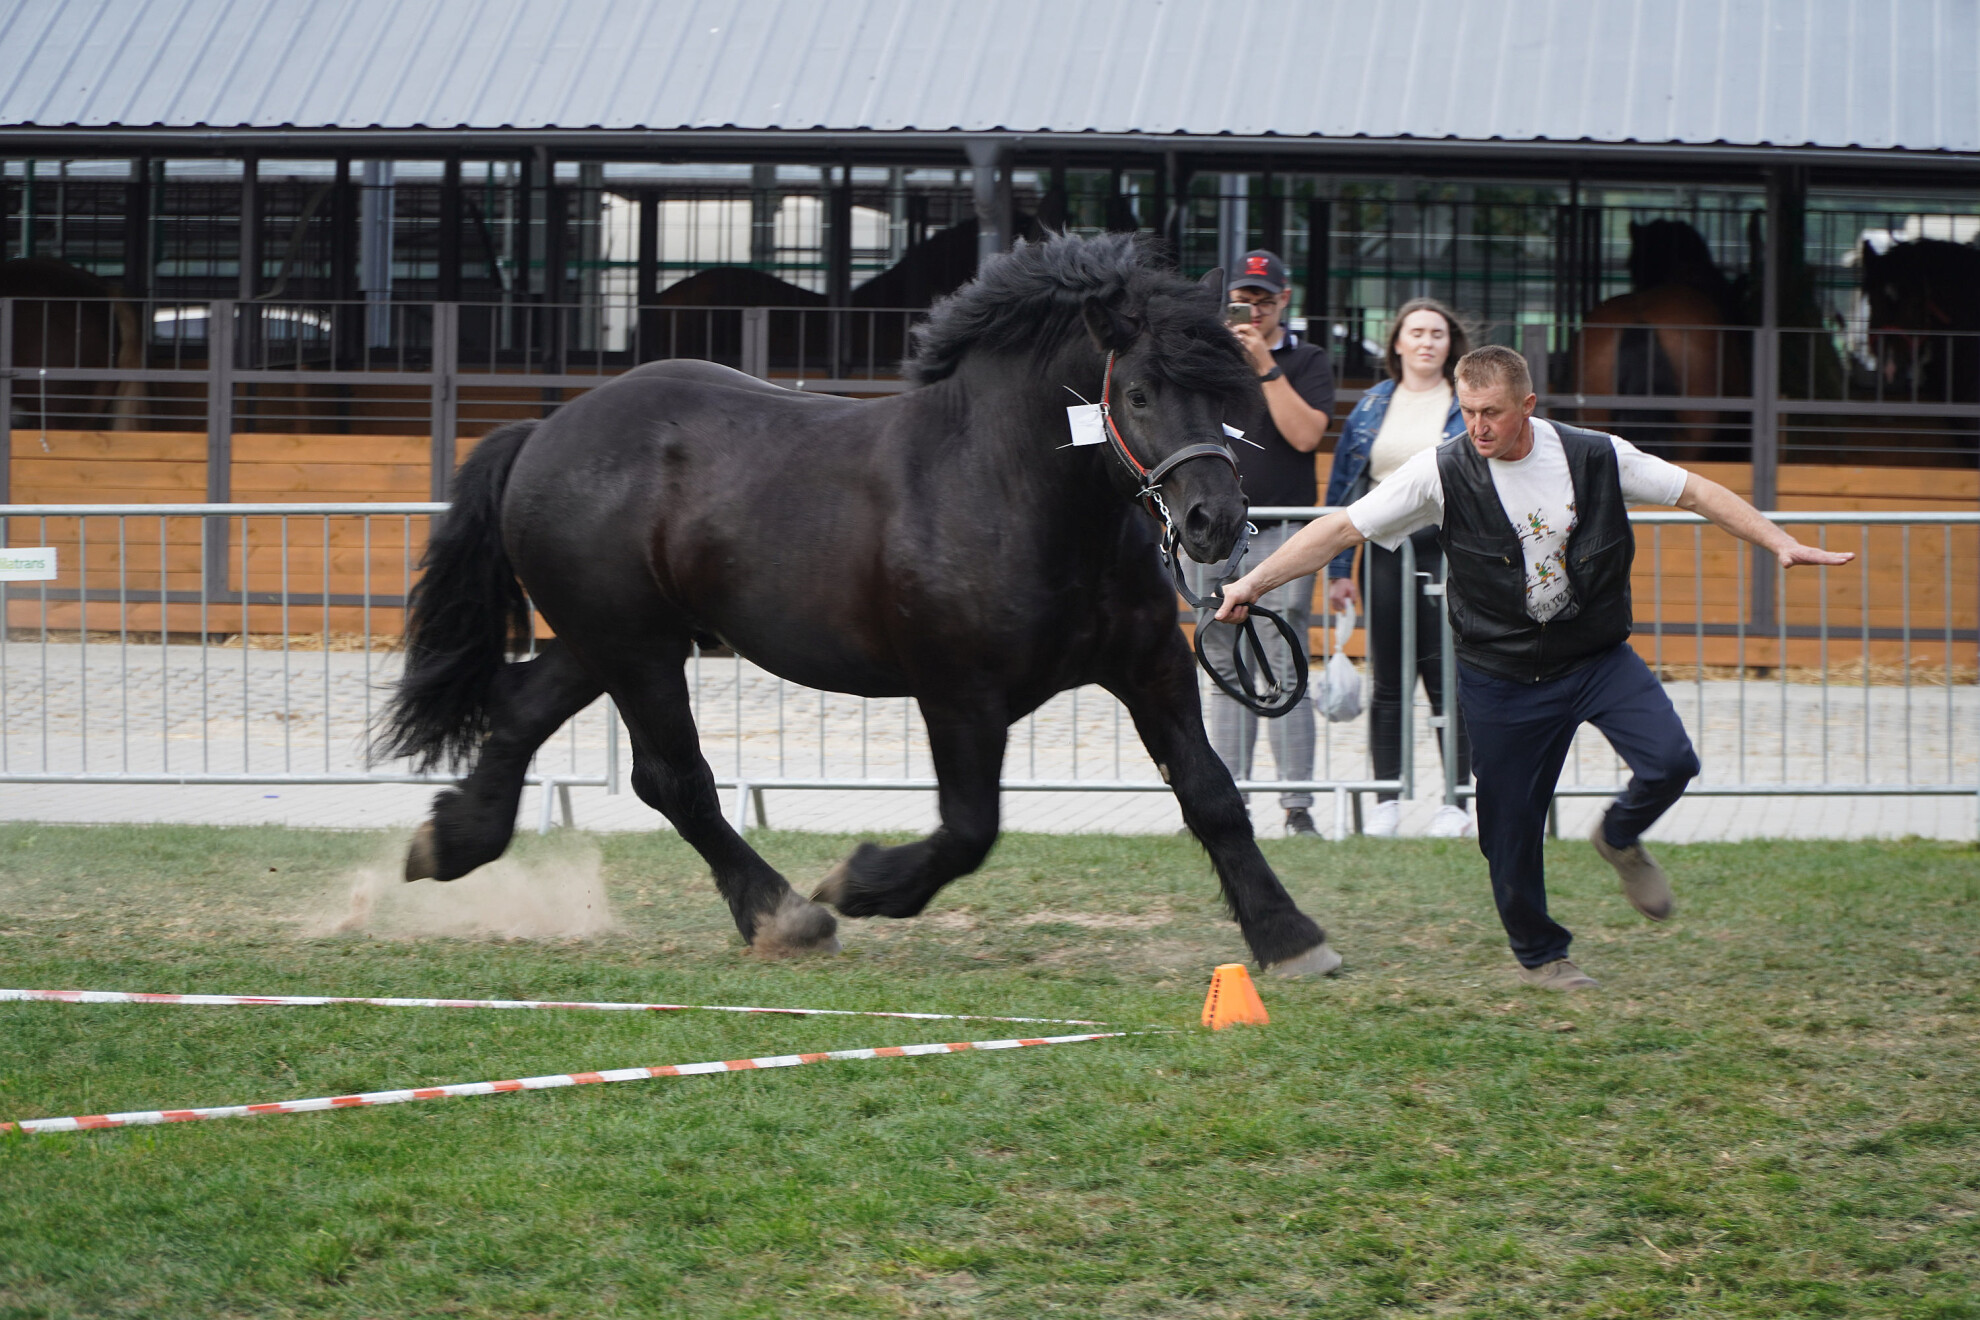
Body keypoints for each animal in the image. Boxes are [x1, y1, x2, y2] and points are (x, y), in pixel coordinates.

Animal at [376, 232, 1339, 975]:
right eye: (1138, 392)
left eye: (1228, 391)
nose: (1217, 523)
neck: (1011, 491)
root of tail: (546, 430)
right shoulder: (959, 695)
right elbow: (970, 827)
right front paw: (864, 884)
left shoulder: (1150, 671)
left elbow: (1212, 794)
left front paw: (1290, 936)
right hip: (635, 647)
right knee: (673, 778)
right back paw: (788, 914)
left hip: (609, 640)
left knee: (521, 709)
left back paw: (449, 842)